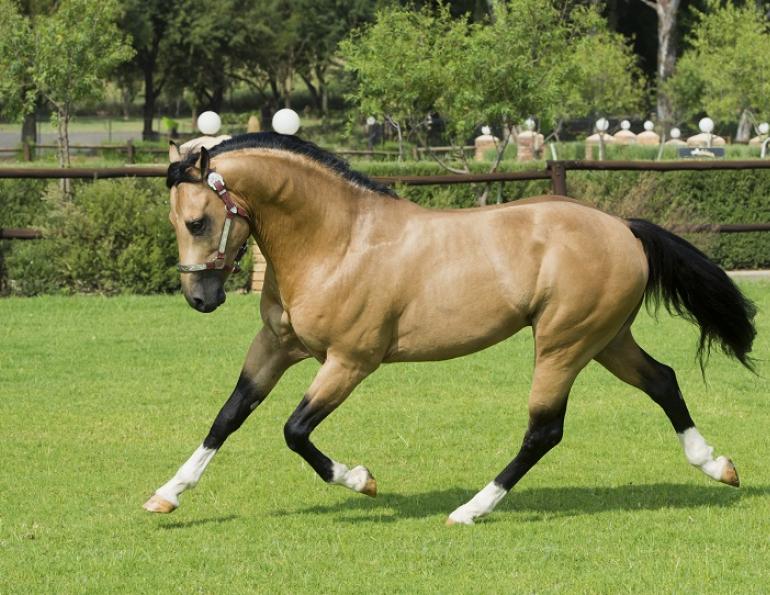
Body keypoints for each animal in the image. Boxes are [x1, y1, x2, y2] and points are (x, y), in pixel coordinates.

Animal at [143, 132, 756, 525]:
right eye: (173, 221)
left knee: (544, 430)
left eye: (197, 221)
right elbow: (228, 416)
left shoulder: (349, 362)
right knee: (663, 381)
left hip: (564, 344)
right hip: (607, 340)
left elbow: (294, 431)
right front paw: (166, 495)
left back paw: (469, 510)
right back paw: (717, 465)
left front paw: (361, 479)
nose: (200, 298)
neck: (337, 241)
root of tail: (622, 228)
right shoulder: (276, 347)